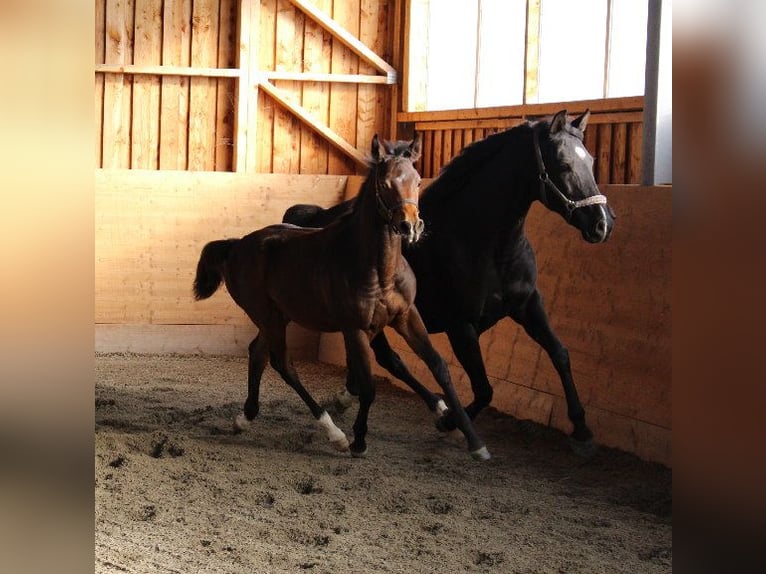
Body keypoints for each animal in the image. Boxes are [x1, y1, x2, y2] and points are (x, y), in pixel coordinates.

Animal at [193, 134, 490, 461]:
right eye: (385, 183)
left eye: (417, 180)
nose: (410, 227)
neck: (378, 270)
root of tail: (235, 246)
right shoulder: (355, 329)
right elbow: (369, 385)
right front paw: (359, 441)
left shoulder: (407, 316)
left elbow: (439, 367)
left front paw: (470, 438)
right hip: (268, 317)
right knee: (282, 363)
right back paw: (334, 432)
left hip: (277, 317)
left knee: (258, 353)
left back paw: (245, 417)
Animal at [282, 110, 615, 454]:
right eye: (563, 164)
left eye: (591, 160)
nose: (602, 223)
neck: (481, 240)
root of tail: (315, 218)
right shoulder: (461, 326)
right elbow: (483, 389)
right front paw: (451, 422)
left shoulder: (528, 304)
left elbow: (560, 353)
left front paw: (582, 429)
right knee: (391, 360)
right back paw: (429, 407)